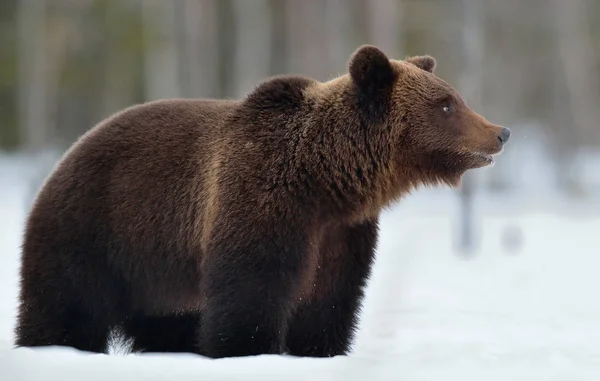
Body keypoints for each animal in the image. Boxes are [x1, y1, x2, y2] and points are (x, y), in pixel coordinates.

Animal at [15, 44, 510, 356]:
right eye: (446, 104)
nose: (500, 132)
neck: (325, 179)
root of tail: (67, 153)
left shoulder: (341, 235)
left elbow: (329, 303)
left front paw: (317, 352)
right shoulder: (262, 201)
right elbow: (252, 291)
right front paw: (249, 349)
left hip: (160, 276)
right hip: (97, 229)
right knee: (65, 307)